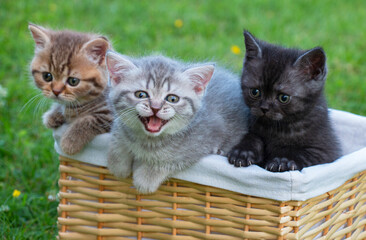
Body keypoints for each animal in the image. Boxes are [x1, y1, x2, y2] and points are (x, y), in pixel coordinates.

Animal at [29, 24, 113, 155]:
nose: (56, 91)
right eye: (47, 76)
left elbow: (91, 119)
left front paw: (70, 141)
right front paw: (53, 115)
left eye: (73, 81)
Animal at [106, 52, 249, 193]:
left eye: (172, 99)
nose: (155, 107)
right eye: (141, 95)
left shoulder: (205, 137)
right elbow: (118, 137)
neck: (148, 140)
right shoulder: (120, 124)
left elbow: (173, 157)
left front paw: (146, 177)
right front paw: (118, 164)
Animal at [227, 31, 342, 172]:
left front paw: (283, 161)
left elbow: (301, 153)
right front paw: (243, 152)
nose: (264, 108)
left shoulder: (326, 152)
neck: (277, 128)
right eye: (255, 92)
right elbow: (253, 136)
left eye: (284, 97)